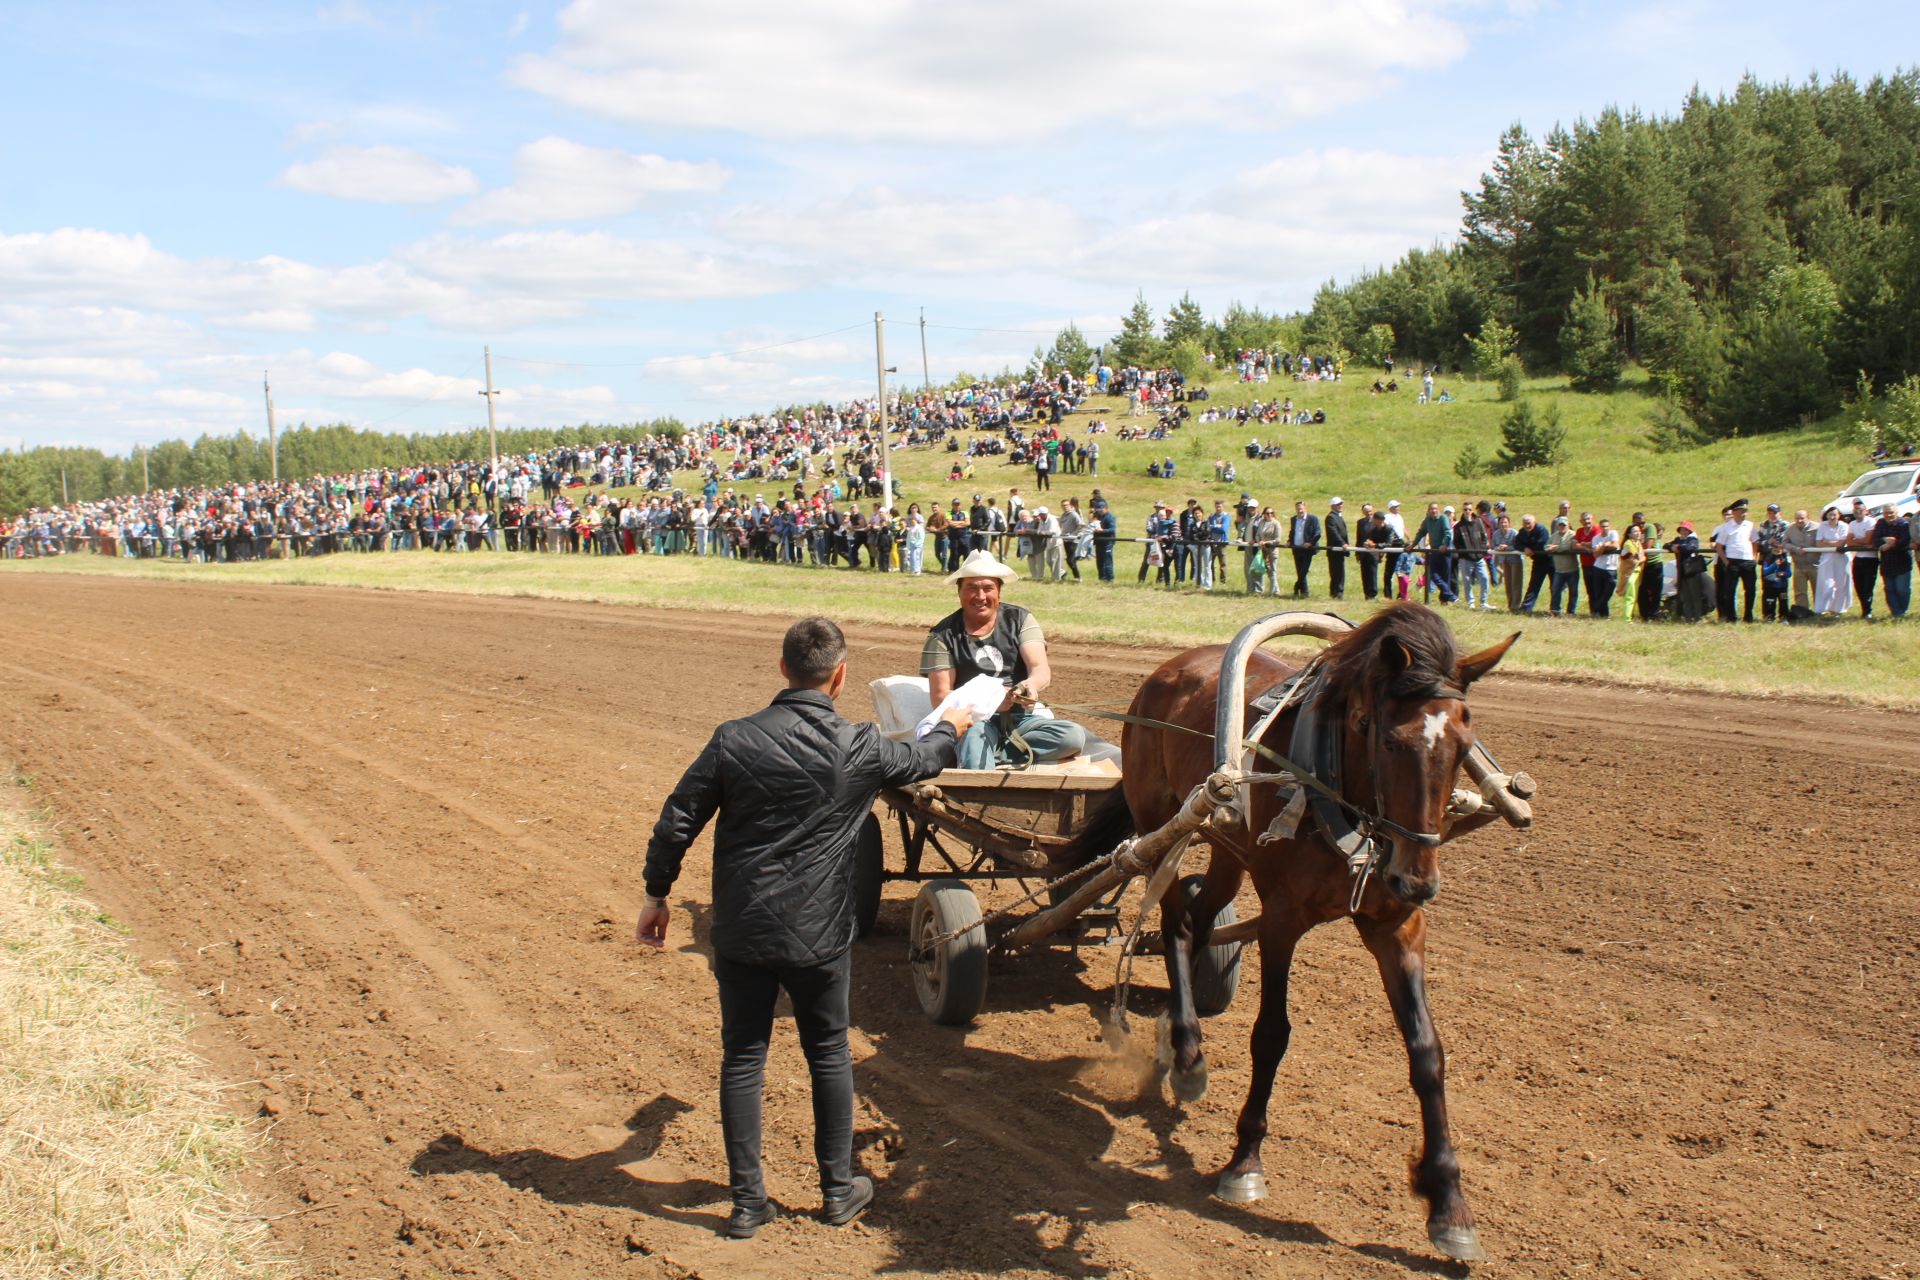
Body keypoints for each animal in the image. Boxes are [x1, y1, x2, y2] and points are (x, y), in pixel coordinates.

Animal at [1067, 606, 1512, 1266]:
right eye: (1391, 739)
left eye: (1461, 746)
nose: (1418, 880)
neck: (1338, 789)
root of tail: (1170, 667)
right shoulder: (1281, 918)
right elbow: (1271, 1035)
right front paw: (1244, 1160)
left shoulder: (1397, 925)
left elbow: (1427, 1053)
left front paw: (1448, 1203)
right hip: (1163, 825)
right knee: (1174, 925)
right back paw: (1189, 1050)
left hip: (1226, 847)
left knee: (1200, 924)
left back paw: (1176, 1035)